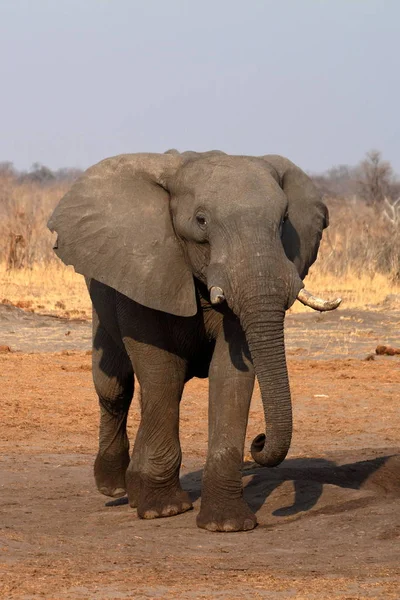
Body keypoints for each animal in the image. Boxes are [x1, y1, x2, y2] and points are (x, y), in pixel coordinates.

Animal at [47, 152, 340, 532]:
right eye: (201, 221)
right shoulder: (146, 268)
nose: (259, 441)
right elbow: (162, 372)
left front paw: (227, 525)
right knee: (116, 386)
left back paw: (135, 488)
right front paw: (163, 510)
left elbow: (231, 374)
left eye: (283, 221)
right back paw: (115, 488)